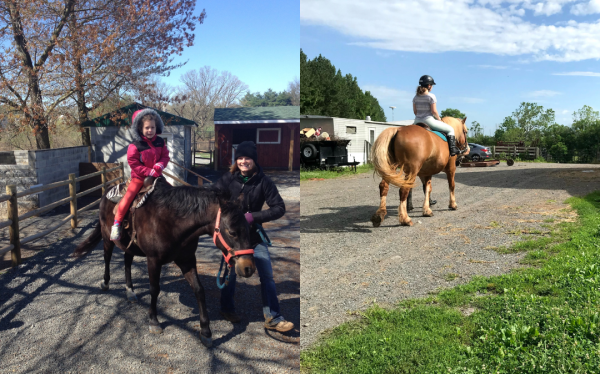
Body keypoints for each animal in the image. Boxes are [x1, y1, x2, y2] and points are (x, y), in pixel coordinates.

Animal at [73, 178, 255, 348]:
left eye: (249, 228)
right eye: (232, 232)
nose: (248, 268)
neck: (171, 221)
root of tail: (106, 193)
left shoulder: (187, 260)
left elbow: (199, 290)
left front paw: (206, 332)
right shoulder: (154, 260)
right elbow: (155, 289)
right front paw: (154, 321)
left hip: (129, 245)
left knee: (127, 261)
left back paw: (130, 291)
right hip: (107, 238)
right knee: (107, 257)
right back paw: (105, 283)